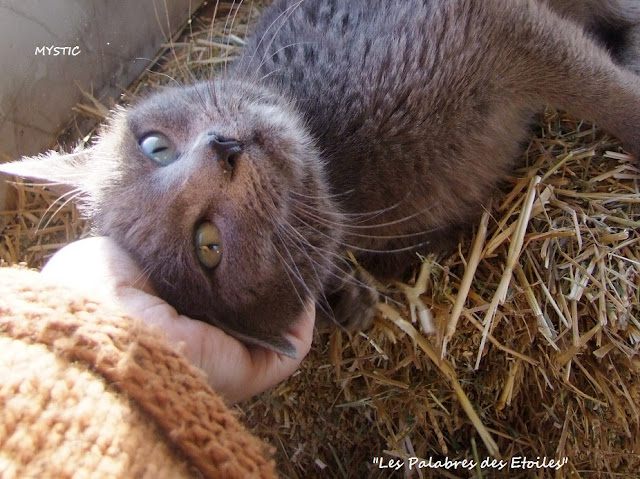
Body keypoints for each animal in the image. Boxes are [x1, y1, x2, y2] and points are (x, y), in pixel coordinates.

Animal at [1, 0, 640, 356]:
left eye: (154, 147)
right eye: (208, 247)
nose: (224, 148)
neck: (341, 165)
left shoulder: (489, 22)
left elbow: (606, 92)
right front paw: (346, 298)